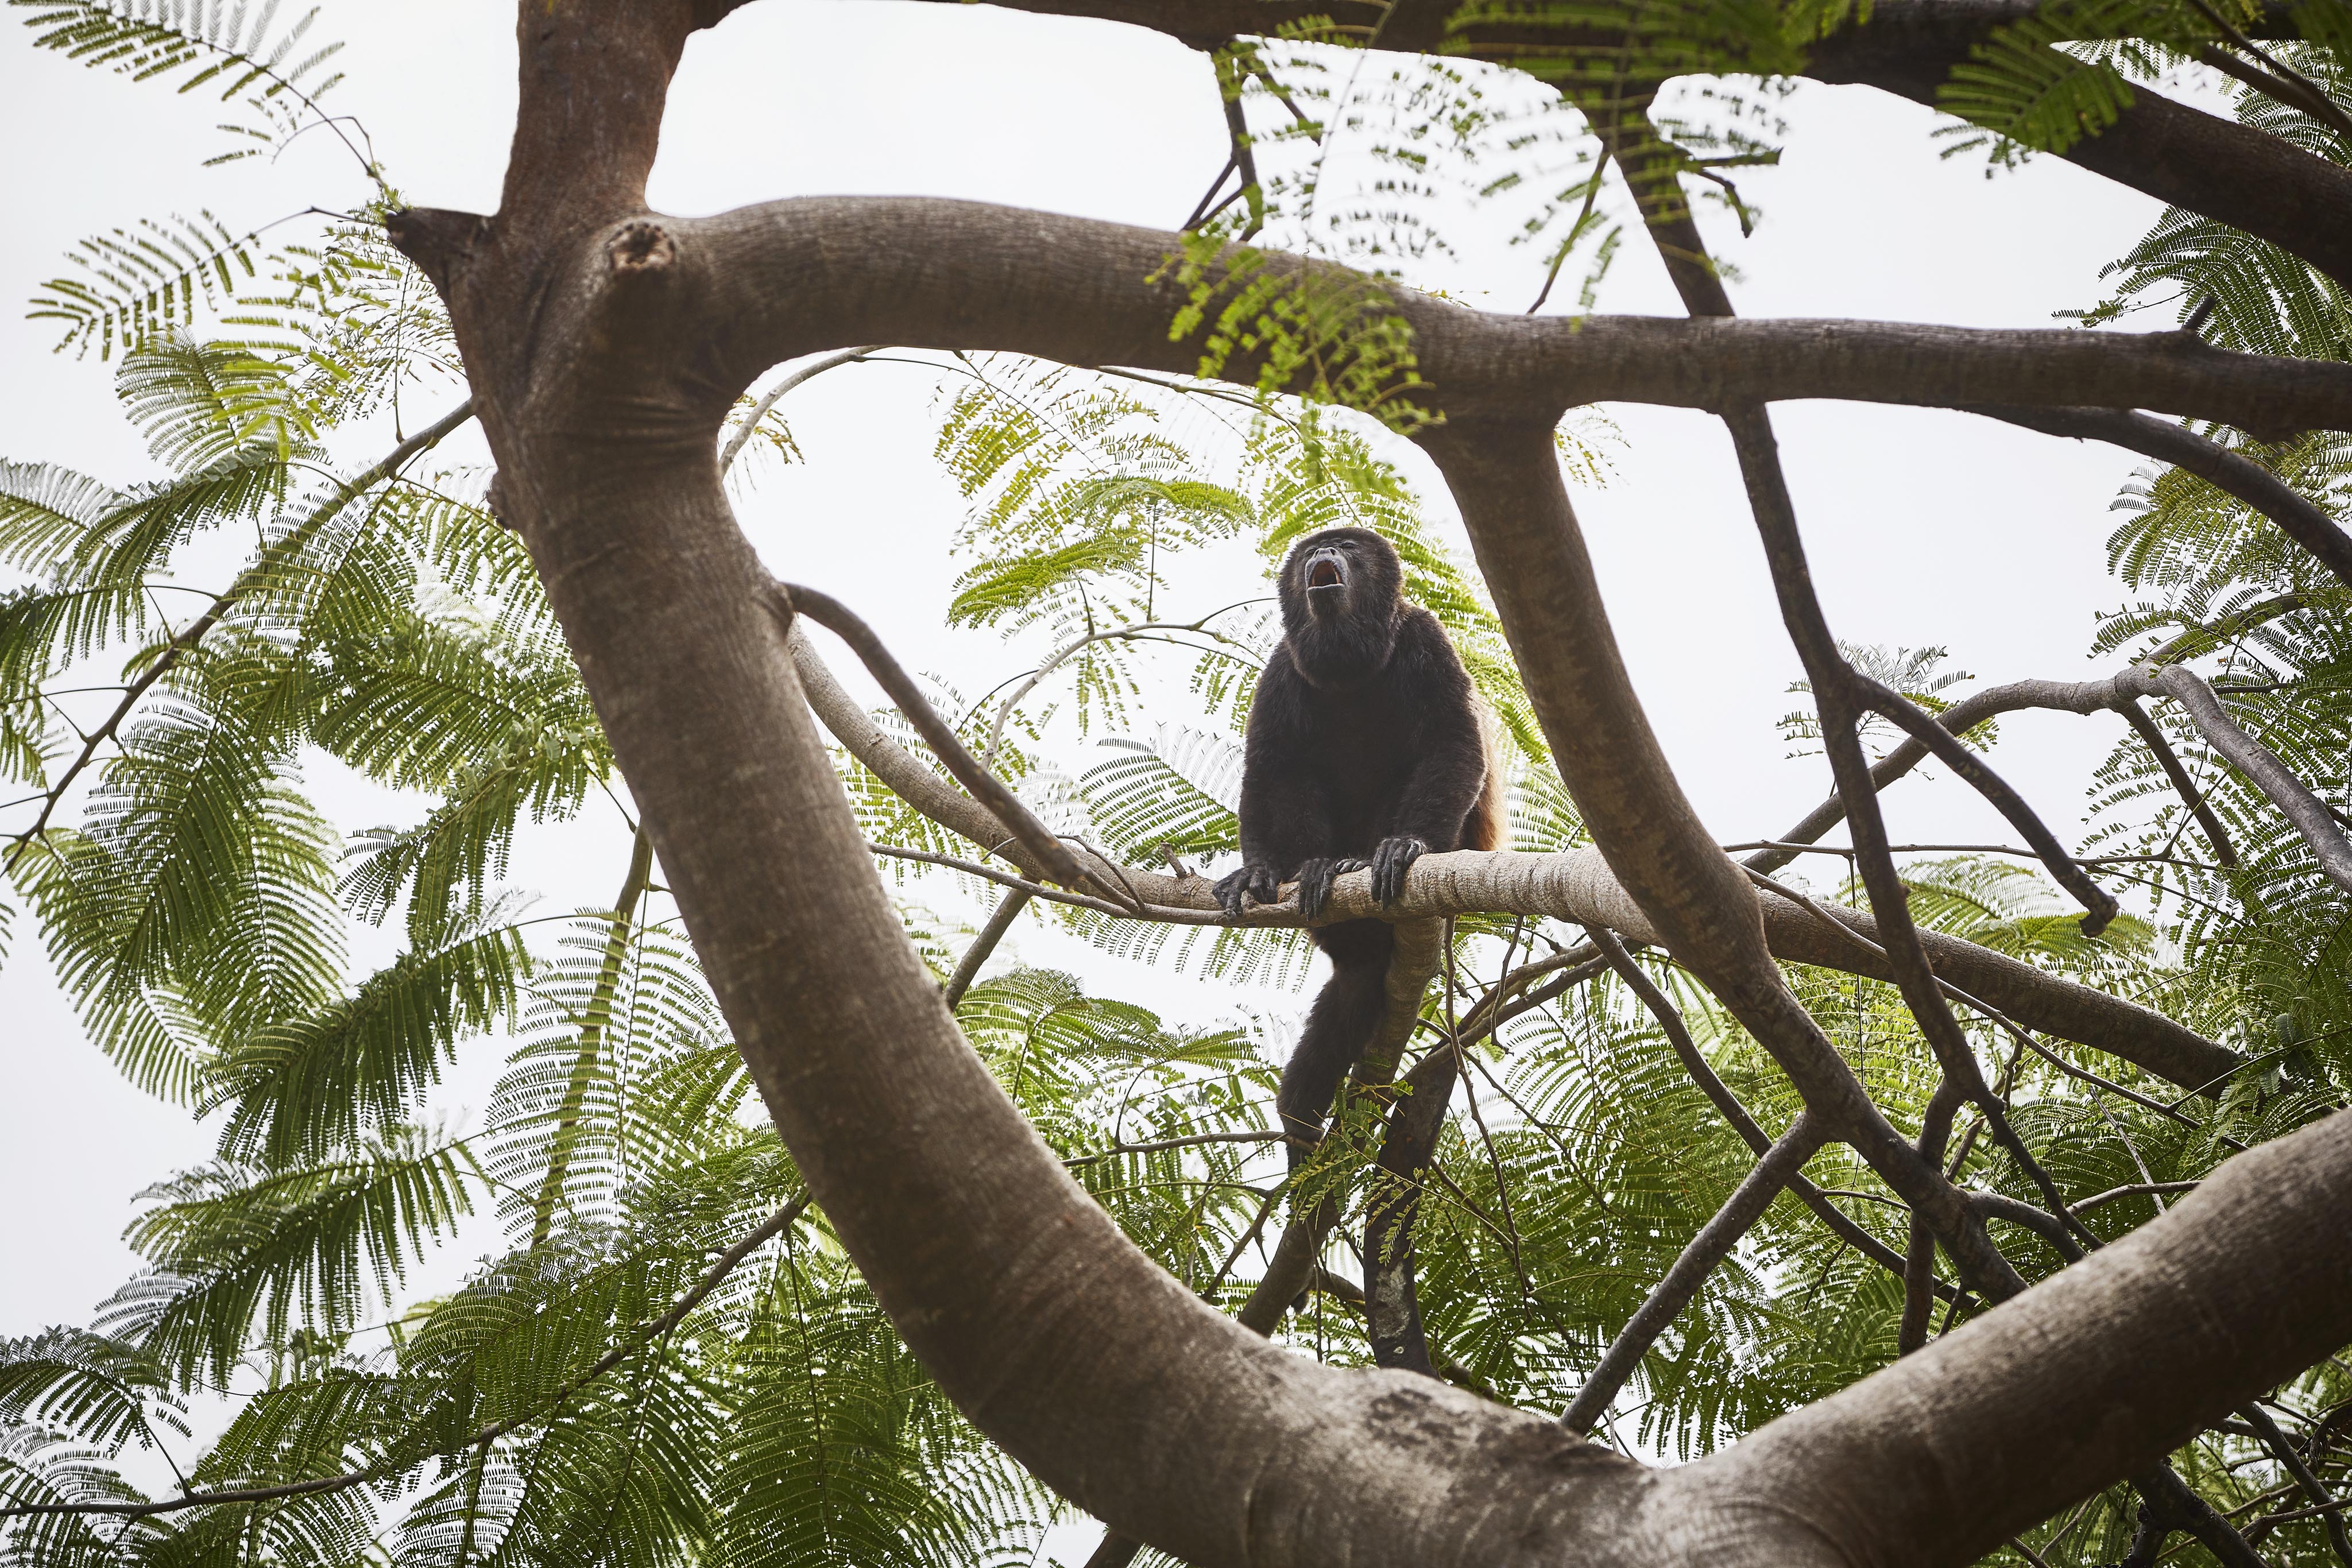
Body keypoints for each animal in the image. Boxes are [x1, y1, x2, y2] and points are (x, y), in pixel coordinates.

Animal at [1215, 526, 1503, 1162]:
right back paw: (1320, 870)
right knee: (1299, 778)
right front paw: (1257, 871)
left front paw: (1407, 844)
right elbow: (1270, 765)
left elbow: (1451, 738)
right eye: (1313, 550)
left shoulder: (1425, 634)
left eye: (1348, 546)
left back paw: (1366, 860)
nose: (1326, 555)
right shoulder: (1281, 666)